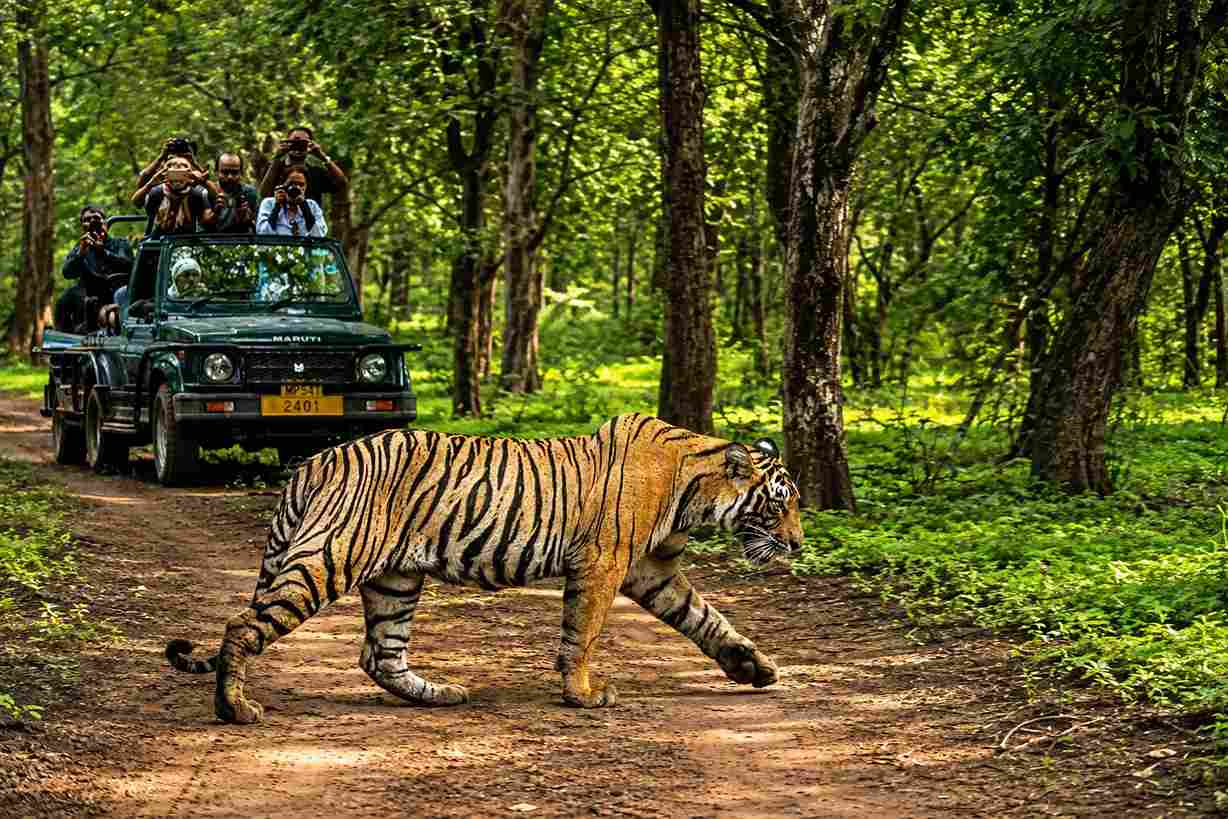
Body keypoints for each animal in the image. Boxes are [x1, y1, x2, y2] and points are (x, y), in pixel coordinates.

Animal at [165, 412, 804, 724]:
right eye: (780, 503)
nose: (798, 543)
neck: (695, 489)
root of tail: (313, 462)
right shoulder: (603, 564)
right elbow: (582, 634)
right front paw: (582, 696)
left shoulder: (653, 570)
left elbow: (706, 618)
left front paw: (754, 667)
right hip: (328, 558)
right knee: (242, 627)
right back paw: (234, 710)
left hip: (396, 579)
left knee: (380, 655)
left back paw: (440, 695)